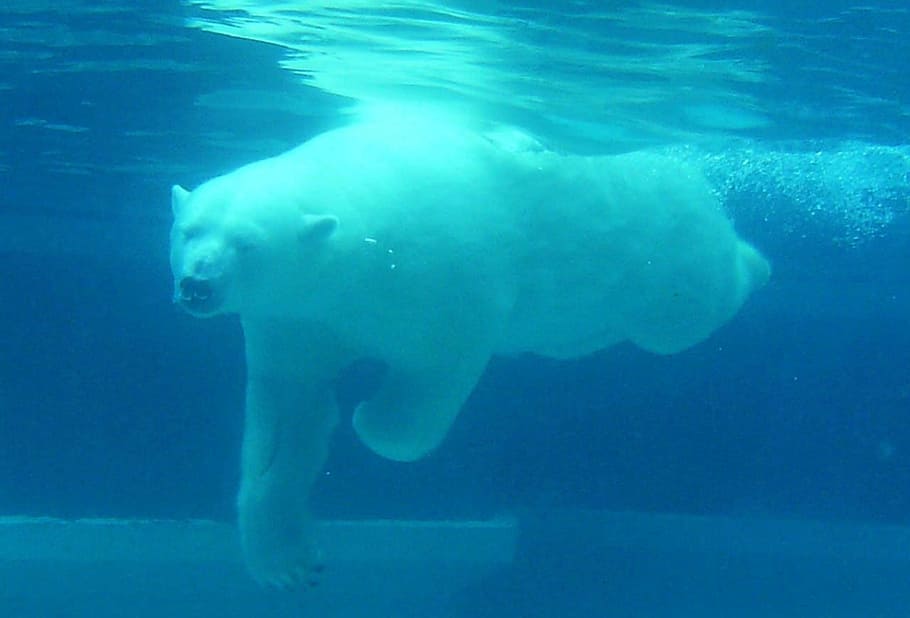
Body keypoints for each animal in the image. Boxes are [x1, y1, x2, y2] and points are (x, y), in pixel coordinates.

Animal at [169, 109, 770, 588]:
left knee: (691, 309)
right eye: (189, 231)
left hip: (665, 256)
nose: (196, 285)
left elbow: (423, 389)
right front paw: (289, 563)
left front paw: (369, 418)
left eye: (248, 244)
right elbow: (289, 421)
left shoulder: (439, 277)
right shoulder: (296, 320)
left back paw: (756, 263)